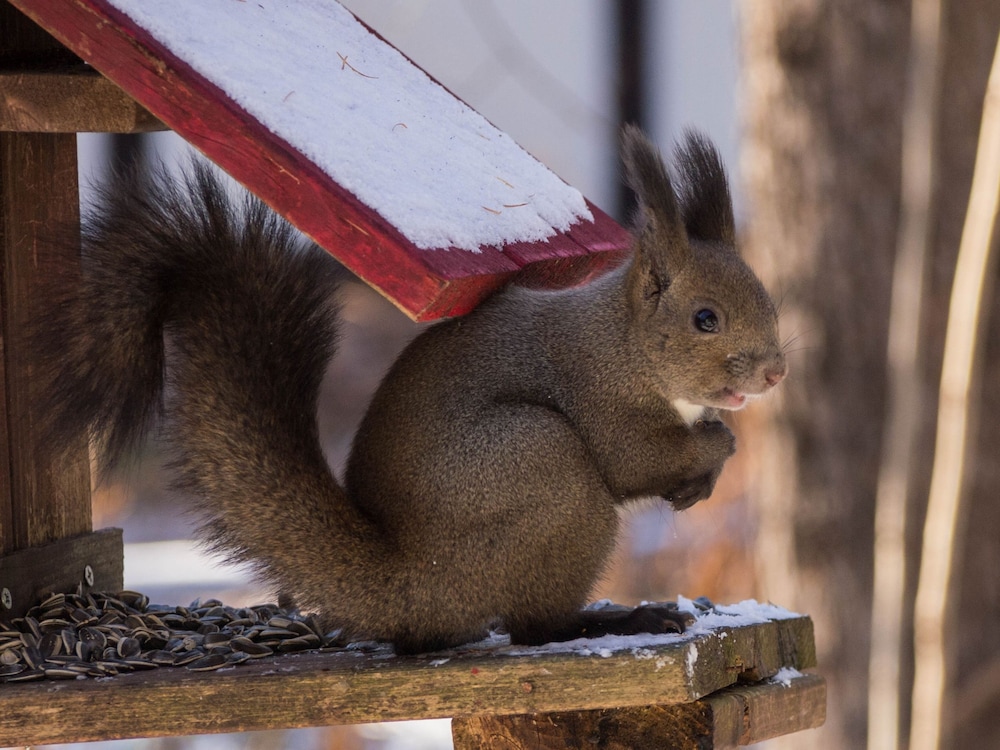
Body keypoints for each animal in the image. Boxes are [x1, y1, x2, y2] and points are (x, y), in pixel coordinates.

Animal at [30, 127, 786, 655]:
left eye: (769, 300)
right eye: (705, 319)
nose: (775, 372)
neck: (625, 341)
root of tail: (408, 586)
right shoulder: (599, 393)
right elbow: (637, 458)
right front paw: (715, 447)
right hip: (541, 467)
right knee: (533, 626)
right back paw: (616, 618)